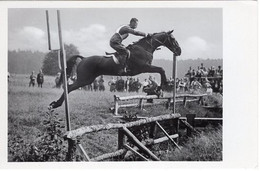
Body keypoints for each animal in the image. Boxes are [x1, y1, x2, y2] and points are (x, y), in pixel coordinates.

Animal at [48, 30, 181, 109]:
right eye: (173, 39)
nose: (179, 51)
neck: (145, 48)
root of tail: (84, 58)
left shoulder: (145, 68)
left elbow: (160, 71)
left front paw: (158, 89)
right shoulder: (144, 67)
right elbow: (161, 70)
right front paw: (160, 88)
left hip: (88, 79)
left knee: (69, 87)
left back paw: (56, 104)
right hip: (84, 79)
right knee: (69, 87)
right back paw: (56, 104)